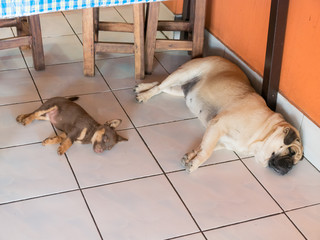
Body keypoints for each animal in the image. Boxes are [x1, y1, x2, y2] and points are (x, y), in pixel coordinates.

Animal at [134, 56, 302, 174]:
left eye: (296, 163)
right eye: (291, 152)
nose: (290, 167)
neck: (265, 133)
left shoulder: (219, 139)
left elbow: (202, 146)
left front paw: (191, 156)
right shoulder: (218, 125)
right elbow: (206, 152)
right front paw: (195, 164)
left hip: (178, 88)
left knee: (159, 86)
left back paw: (142, 87)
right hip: (183, 73)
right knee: (159, 86)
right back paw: (144, 95)